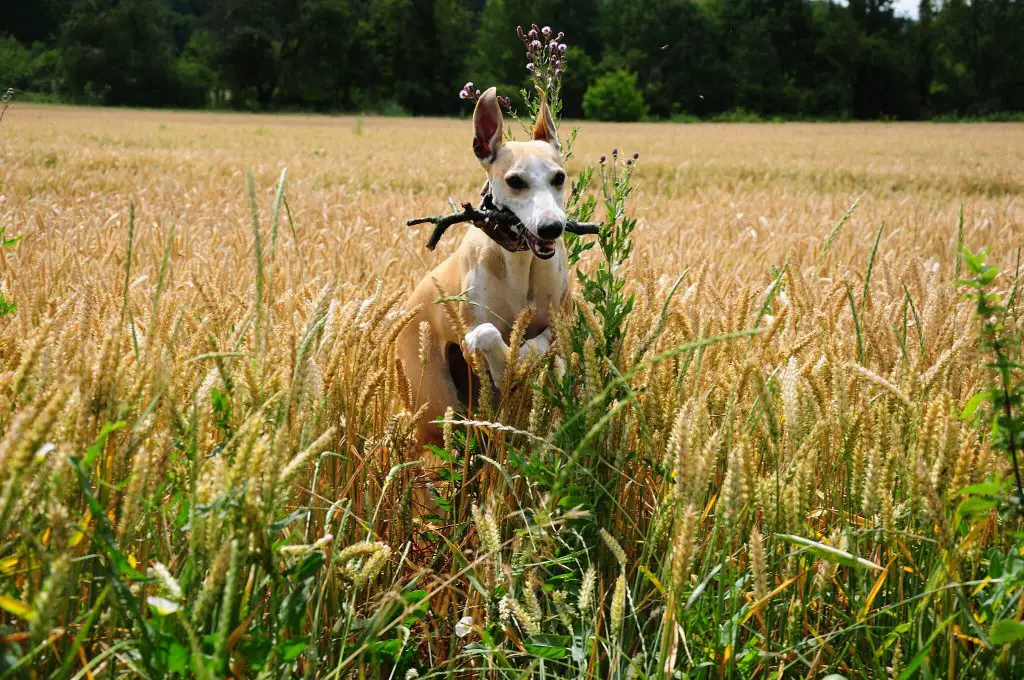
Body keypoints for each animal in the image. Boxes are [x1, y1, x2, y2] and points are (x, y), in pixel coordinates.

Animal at [395, 89, 569, 450]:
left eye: (558, 177)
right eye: (515, 181)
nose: (551, 228)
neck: (519, 260)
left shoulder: (564, 321)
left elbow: (537, 347)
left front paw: (521, 357)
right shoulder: (471, 336)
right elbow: (487, 335)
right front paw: (507, 358)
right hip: (435, 405)